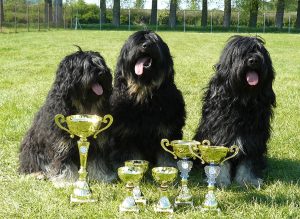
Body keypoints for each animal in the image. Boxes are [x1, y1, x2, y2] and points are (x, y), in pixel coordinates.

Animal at [19, 47, 113, 186]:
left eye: (101, 63)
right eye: (85, 67)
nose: (102, 72)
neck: (82, 106)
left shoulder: (97, 143)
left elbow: (97, 161)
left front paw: (101, 177)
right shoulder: (61, 143)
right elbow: (63, 162)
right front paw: (66, 182)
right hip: (31, 148)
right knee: (29, 165)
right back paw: (37, 174)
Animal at [108, 30, 185, 169]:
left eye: (154, 41)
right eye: (137, 42)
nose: (146, 45)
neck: (144, 94)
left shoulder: (167, 130)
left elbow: (166, 156)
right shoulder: (126, 133)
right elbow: (129, 155)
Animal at [195, 36, 276, 188]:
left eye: (259, 50)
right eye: (241, 53)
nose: (253, 60)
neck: (242, 101)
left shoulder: (252, 137)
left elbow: (247, 162)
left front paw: (247, 180)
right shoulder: (220, 134)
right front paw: (219, 180)